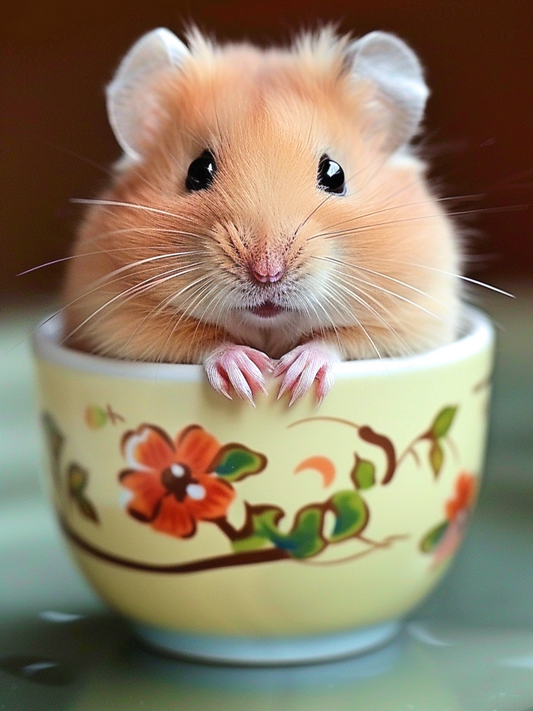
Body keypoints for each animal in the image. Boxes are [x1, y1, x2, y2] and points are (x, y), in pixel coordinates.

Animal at [62, 26, 461, 405]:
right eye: (197, 171)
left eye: (335, 174)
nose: (267, 273)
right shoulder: (114, 321)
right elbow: (206, 342)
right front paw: (247, 377)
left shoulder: (413, 318)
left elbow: (334, 341)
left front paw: (294, 380)